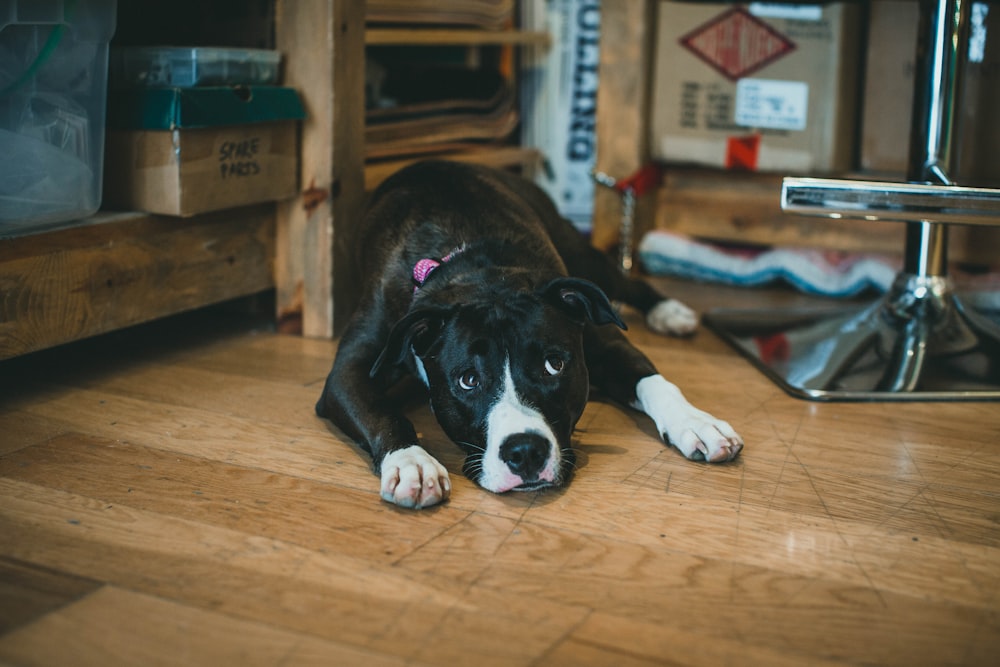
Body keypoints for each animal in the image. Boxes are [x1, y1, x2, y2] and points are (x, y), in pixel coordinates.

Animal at [314, 162, 744, 512]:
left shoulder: (604, 344)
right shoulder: (347, 372)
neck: (475, 272)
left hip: (585, 261)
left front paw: (696, 421)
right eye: (468, 380)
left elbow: (653, 381)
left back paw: (669, 311)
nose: (524, 452)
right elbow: (382, 412)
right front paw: (412, 462)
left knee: (628, 281)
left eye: (554, 365)